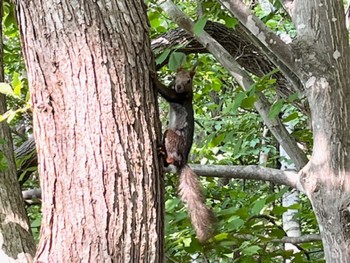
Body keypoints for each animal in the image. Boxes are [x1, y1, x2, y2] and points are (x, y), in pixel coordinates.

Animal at [151, 67, 215, 243]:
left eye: (189, 81)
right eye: (175, 77)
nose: (178, 86)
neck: (185, 93)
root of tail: (183, 161)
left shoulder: (178, 98)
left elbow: (166, 93)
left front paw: (154, 76)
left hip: (172, 135)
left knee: (172, 156)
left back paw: (164, 154)